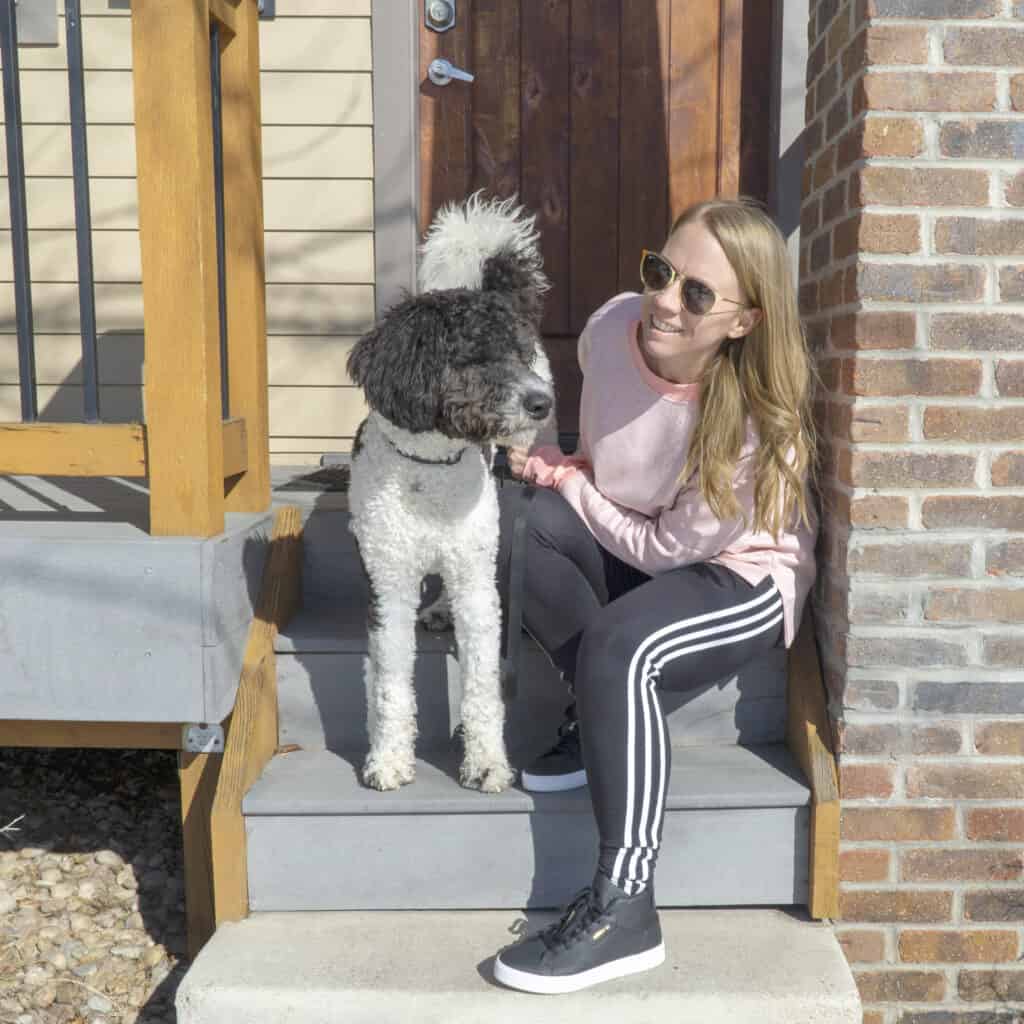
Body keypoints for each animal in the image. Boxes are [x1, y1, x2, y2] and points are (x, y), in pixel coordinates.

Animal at [346, 195, 557, 794]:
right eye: (476, 357)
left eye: (521, 355)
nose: (542, 402)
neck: (432, 471)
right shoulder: (387, 587)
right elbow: (391, 686)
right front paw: (388, 759)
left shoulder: (478, 589)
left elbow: (484, 687)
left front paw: (486, 762)